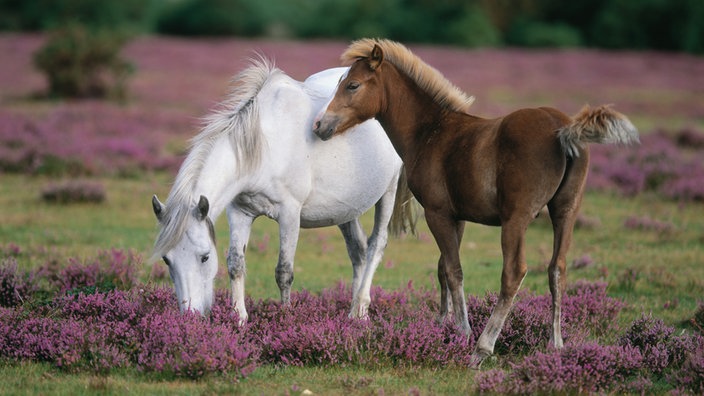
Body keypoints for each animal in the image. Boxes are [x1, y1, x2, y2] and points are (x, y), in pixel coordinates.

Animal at [151, 58, 410, 322]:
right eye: (166, 259)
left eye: (204, 257)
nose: (190, 316)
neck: (264, 146)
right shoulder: (240, 212)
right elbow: (236, 264)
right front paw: (239, 318)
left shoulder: (289, 215)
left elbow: (284, 272)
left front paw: (285, 317)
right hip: (346, 208)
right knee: (358, 250)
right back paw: (352, 313)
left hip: (388, 191)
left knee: (376, 245)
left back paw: (362, 309)